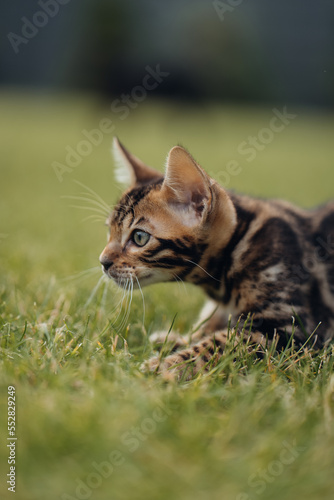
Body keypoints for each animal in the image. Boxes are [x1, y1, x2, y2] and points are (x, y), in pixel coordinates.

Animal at [100, 138, 334, 378]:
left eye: (139, 237)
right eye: (110, 231)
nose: (103, 262)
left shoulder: (289, 328)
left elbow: (220, 344)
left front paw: (164, 366)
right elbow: (211, 327)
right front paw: (178, 340)